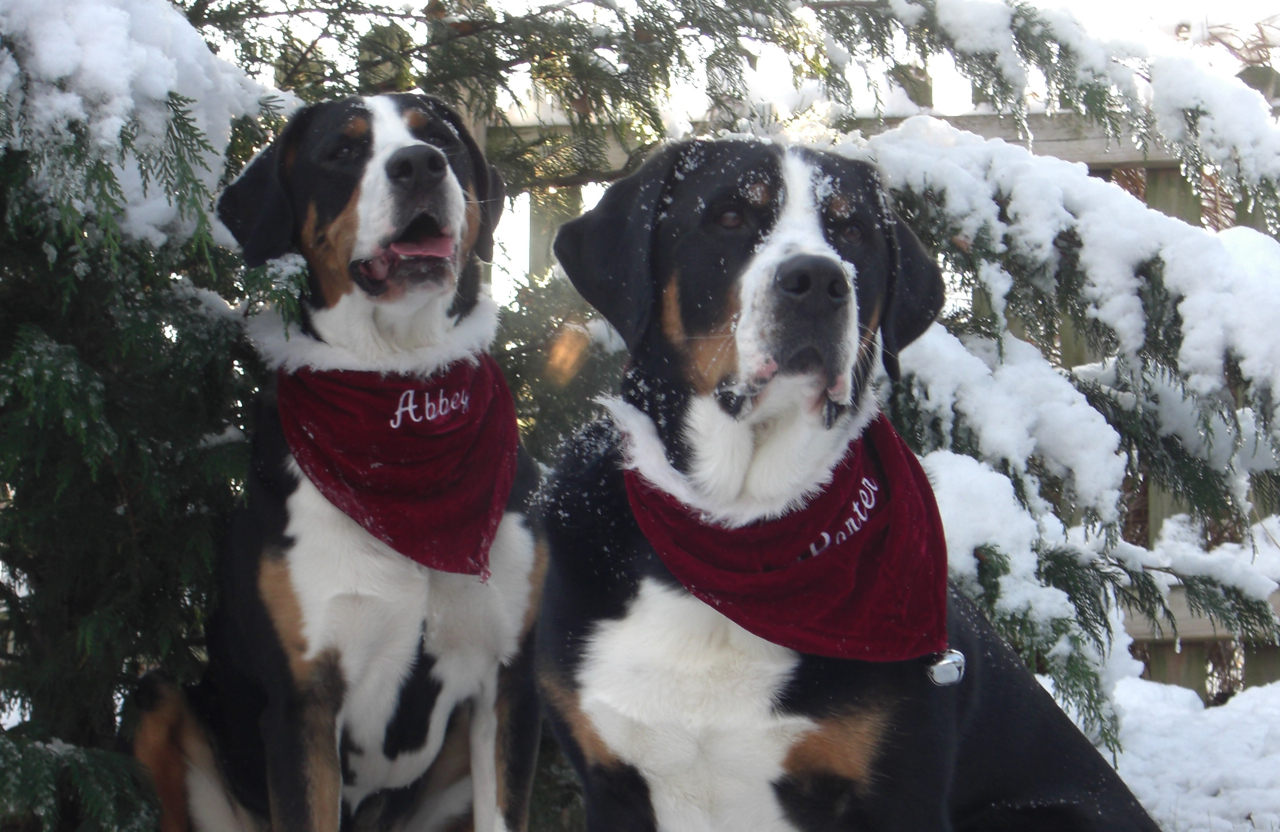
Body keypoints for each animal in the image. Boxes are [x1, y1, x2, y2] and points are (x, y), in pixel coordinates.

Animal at [136, 94, 545, 829]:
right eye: (343, 152)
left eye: (440, 137)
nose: (419, 165)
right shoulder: (304, 702)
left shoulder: (509, 682)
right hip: (156, 699)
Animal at [540, 137, 1162, 829]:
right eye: (728, 216)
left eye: (853, 230)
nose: (818, 281)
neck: (736, 535)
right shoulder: (610, 783)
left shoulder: (900, 793)